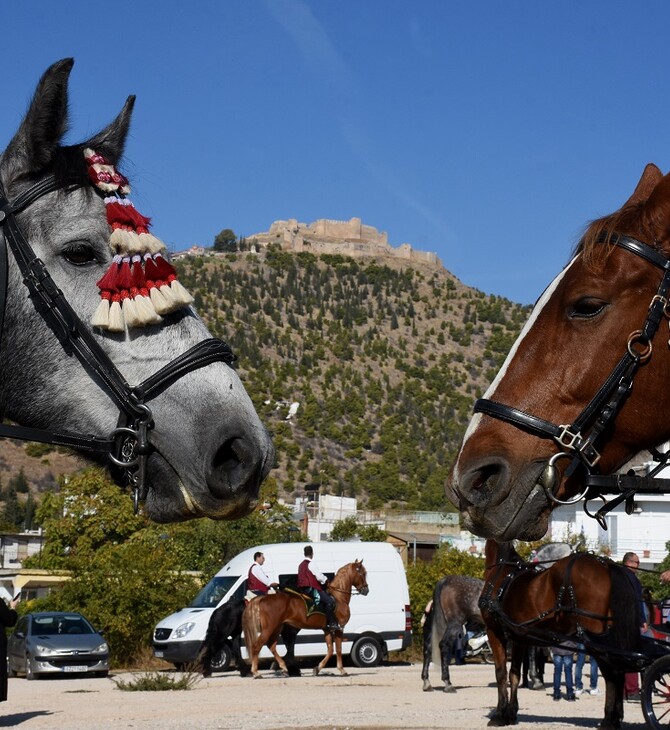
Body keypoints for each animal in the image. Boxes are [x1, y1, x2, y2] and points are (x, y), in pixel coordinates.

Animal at [484, 536, 652, 724]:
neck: (502, 573)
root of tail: (605, 564)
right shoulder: (518, 636)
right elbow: (514, 673)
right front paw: (511, 712)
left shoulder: (494, 632)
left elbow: (501, 673)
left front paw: (500, 713)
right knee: (617, 669)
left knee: (612, 672)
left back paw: (609, 719)